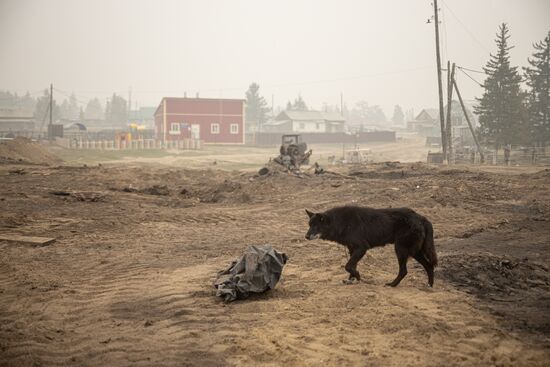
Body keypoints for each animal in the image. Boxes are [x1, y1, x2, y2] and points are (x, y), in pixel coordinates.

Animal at [306, 207, 440, 288]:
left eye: (315, 226)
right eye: (309, 225)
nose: (306, 236)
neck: (342, 223)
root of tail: (421, 218)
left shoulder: (362, 248)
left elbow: (348, 266)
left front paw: (357, 276)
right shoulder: (352, 250)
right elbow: (352, 266)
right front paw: (351, 280)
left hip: (401, 250)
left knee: (404, 271)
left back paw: (392, 284)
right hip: (414, 251)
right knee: (429, 266)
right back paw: (429, 286)